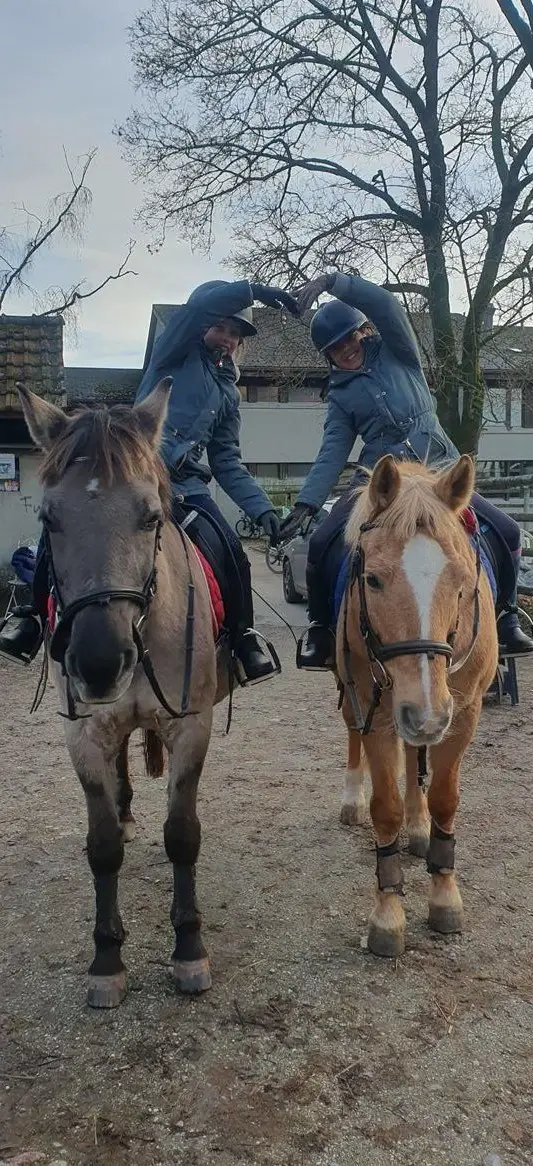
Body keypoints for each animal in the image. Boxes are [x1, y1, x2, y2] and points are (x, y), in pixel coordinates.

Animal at [18, 379, 229, 1009]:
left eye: (150, 516)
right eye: (50, 518)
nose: (98, 662)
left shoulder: (191, 726)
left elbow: (182, 835)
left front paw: (189, 950)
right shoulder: (84, 733)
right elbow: (103, 843)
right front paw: (106, 960)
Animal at [336, 454, 498, 957]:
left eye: (462, 581)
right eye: (372, 579)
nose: (426, 713)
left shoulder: (461, 715)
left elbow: (445, 799)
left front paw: (444, 895)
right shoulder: (378, 713)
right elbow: (384, 807)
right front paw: (388, 915)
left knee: (415, 754)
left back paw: (419, 825)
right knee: (355, 734)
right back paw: (352, 798)